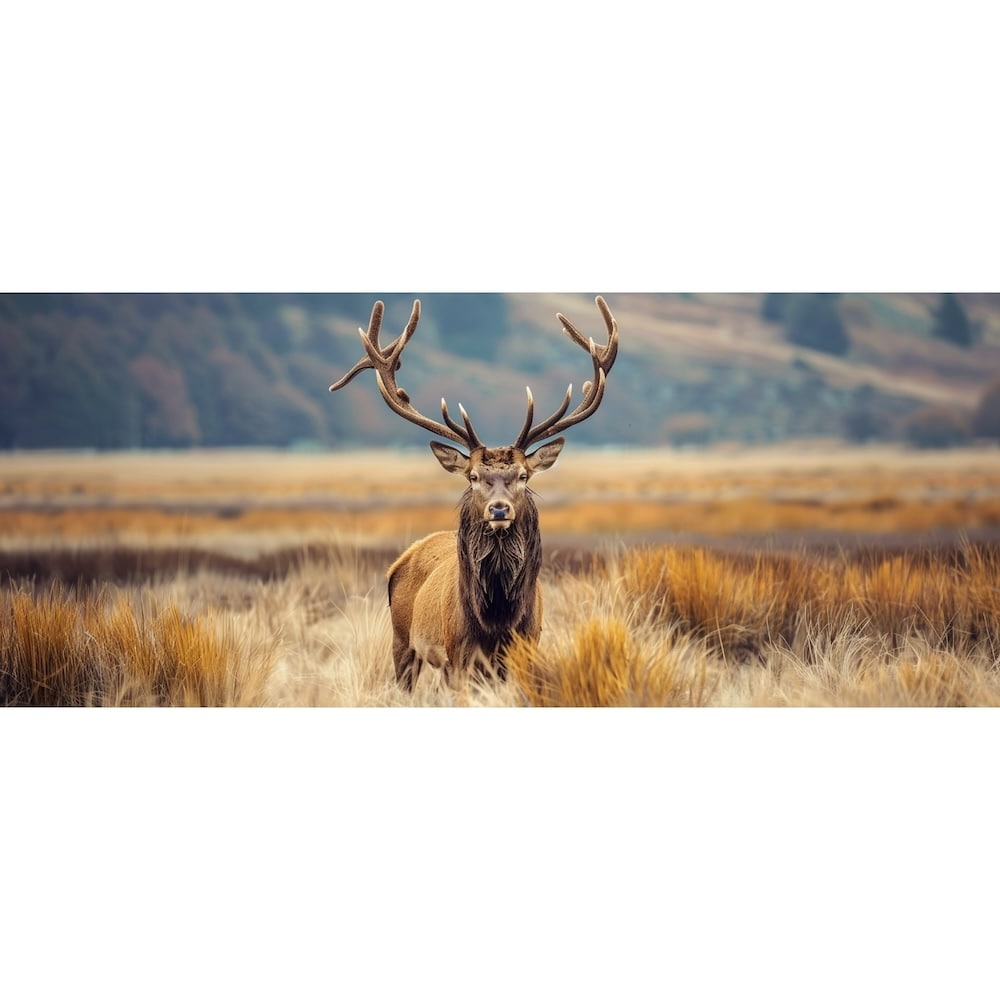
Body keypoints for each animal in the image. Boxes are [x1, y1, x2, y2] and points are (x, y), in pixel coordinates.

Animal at [329, 295, 619, 691]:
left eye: (523, 475)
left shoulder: (527, 649)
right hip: (402, 641)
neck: (496, 621)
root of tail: (402, 558)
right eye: (473, 476)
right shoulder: (459, 658)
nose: (499, 510)